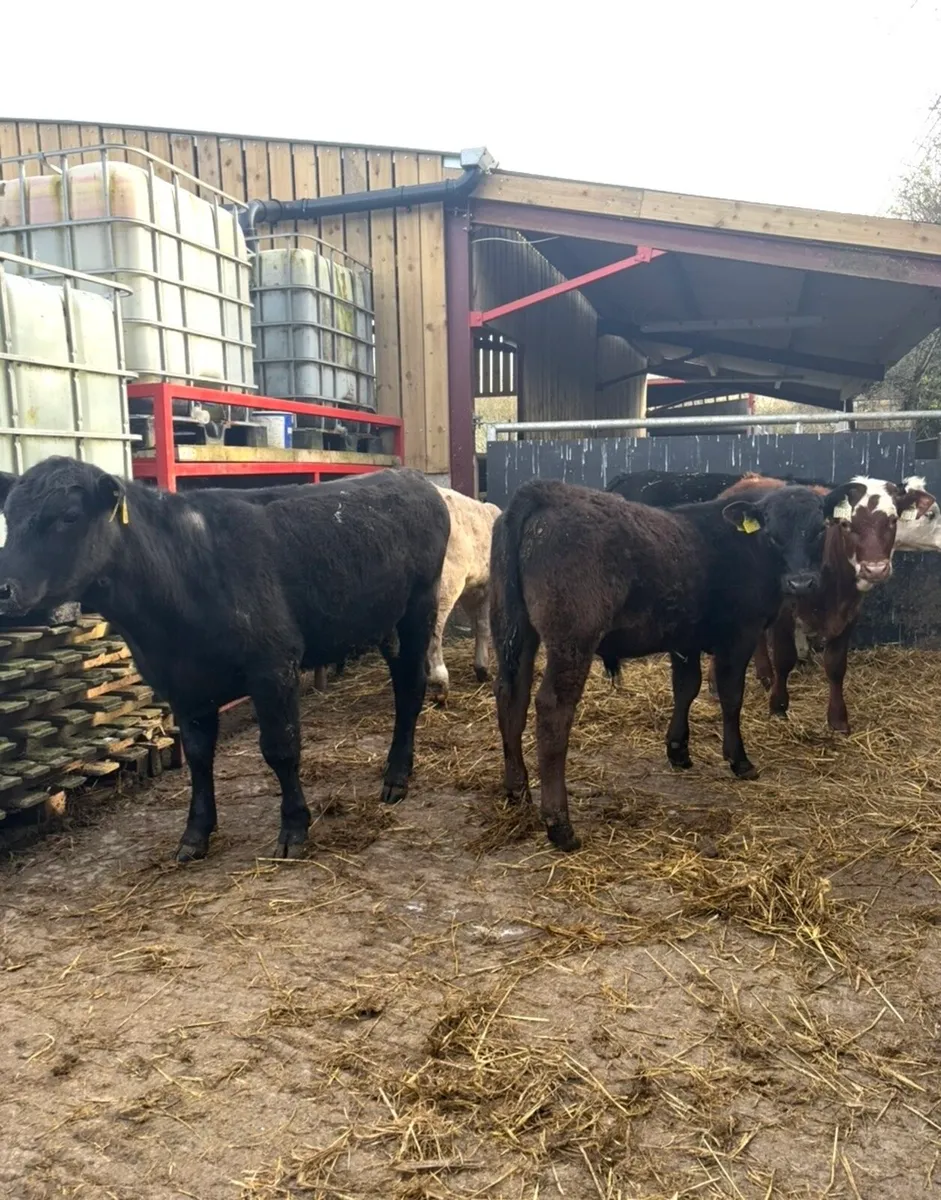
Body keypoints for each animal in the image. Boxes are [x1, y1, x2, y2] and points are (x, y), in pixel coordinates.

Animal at [0, 457, 450, 863]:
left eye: (69, 516)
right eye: (9, 516)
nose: (5, 588)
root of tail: (410, 476)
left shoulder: (273, 667)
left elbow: (281, 748)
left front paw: (294, 828)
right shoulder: (181, 685)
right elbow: (199, 757)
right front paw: (195, 834)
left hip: (419, 609)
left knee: (411, 689)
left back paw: (397, 777)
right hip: (387, 624)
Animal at [490, 477, 855, 851]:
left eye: (820, 528)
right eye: (772, 532)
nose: (802, 582)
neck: (748, 549)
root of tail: (545, 491)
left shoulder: (684, 641)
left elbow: (685, 688)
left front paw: (678, 749)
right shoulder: (739, 637)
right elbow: (730, 698)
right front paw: (739, 760)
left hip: (514, 631)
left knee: (511, 698)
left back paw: (517, 790)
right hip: (572, 640)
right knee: (552, 711)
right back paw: (559, 825)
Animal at [715, 474, 935, 732]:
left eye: (892, 520)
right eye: (846, 525)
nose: (875, 569)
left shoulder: (850, 613)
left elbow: (836, 666)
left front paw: (838, 718)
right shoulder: (786, 613)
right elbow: (784, 660)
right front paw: (778, 706)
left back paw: (764, 674)